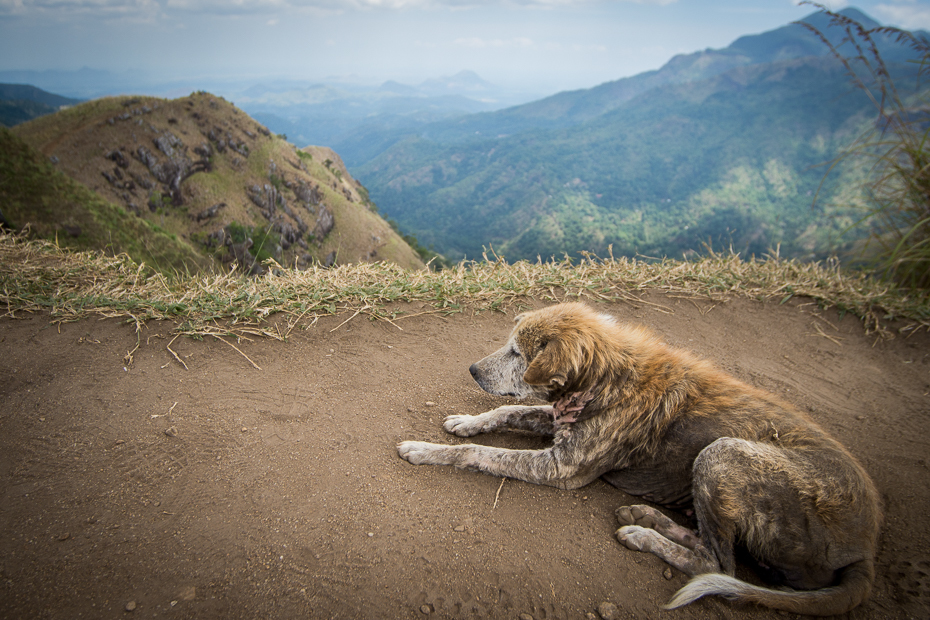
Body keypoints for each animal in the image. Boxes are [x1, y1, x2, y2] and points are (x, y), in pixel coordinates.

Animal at [396, 302, 876, 616]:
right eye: (508, 344)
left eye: (518, 353)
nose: (473, 370)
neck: (604, 374)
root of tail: (866, 548)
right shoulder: (558, 421)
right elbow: (503, 413)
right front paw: (466, 420)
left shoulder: (561, 468)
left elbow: (478, 452)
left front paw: (426, 449)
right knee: (708, 544)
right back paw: (645, 514)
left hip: (722, 453)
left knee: (716, 563)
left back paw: (642, 534)